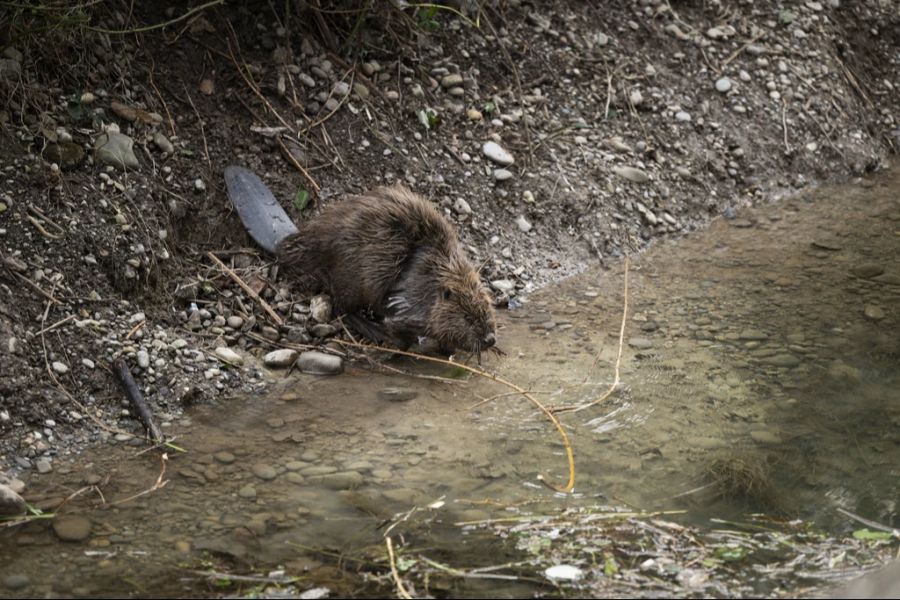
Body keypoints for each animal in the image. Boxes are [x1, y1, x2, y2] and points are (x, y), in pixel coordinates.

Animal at [222, 165, 496, 356]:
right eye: (468, 318)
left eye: (487, 309)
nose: (490, 339)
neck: (439, 272)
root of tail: (284, 241)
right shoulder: (410, 298)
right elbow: (397, 321)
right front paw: (402, 339)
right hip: (353, 277)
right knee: (341, 307)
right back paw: (369, 326)